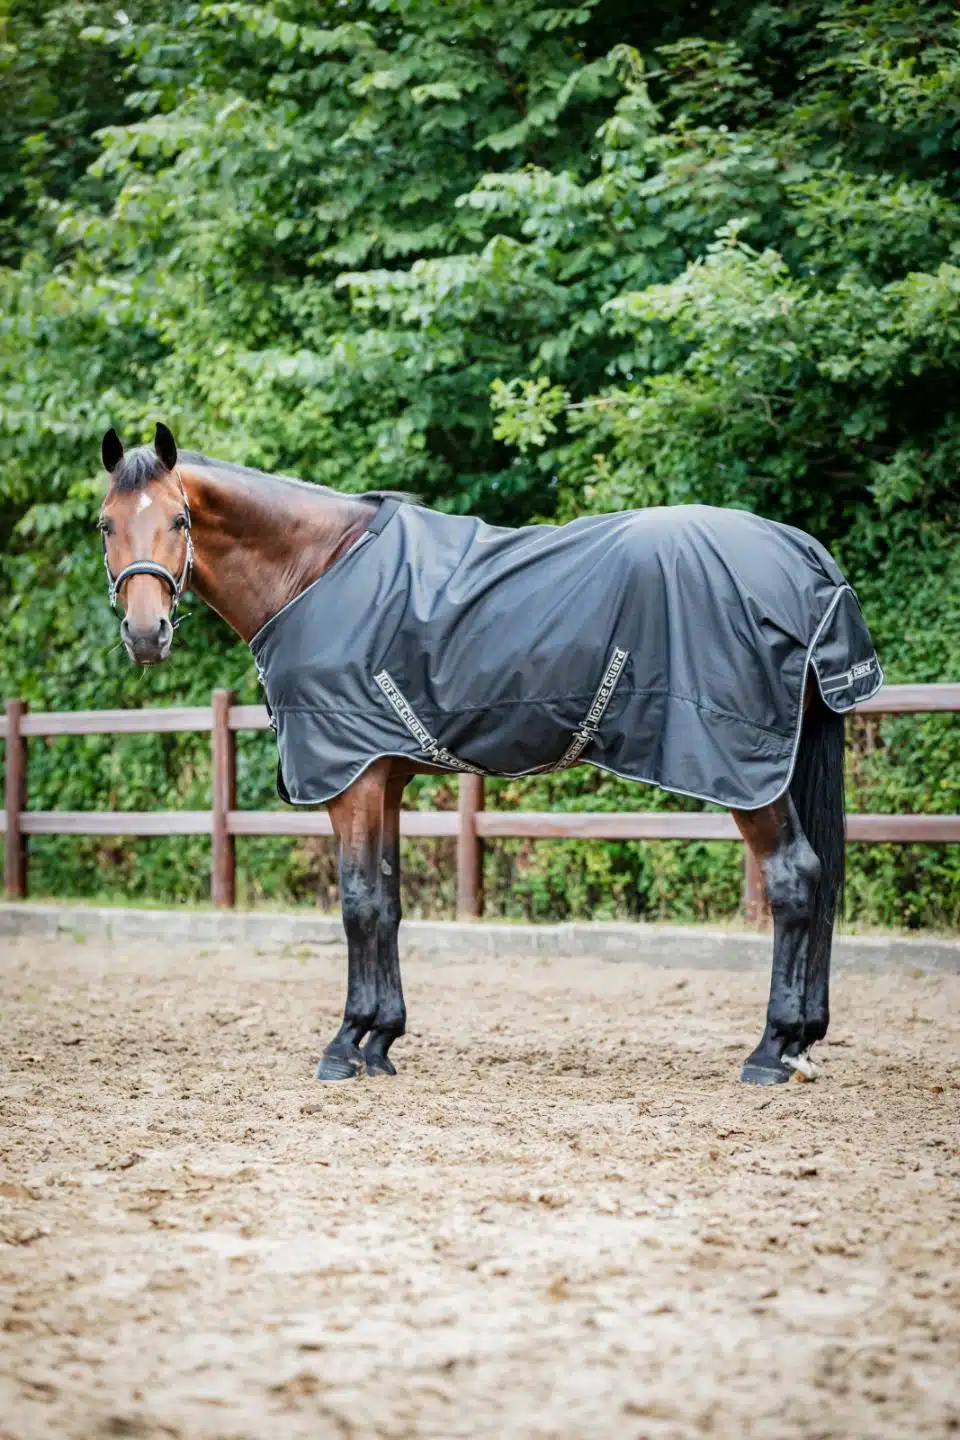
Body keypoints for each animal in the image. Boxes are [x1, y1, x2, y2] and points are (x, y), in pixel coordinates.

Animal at [97, 423, 882, 1086]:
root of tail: (804, 558)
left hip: (750, 773)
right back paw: (803, 1040)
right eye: (107, 523)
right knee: (818, 880)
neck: (317, 570)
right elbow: (388, 902)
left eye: (181, 521)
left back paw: (771, 1051)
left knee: (794, 878)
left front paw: (344, 1043)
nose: (146, 633)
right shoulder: (383, 777)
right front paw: (380, 1040)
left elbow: (357, 902)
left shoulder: (351, 780)